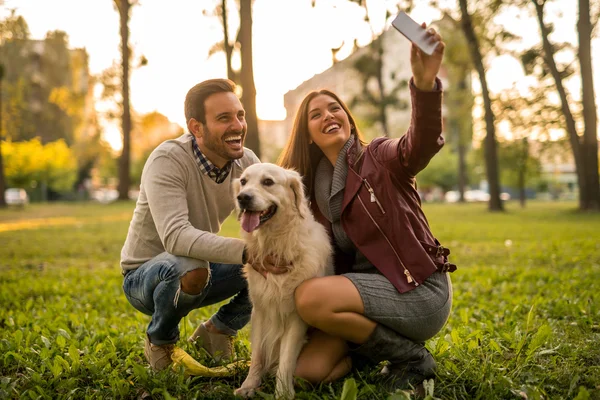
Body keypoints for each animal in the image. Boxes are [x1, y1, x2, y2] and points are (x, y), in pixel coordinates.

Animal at [232, 163, 332, 400]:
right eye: (243, 181)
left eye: (268, 182)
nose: (243, 197)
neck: (277, 243)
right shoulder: (260, 311)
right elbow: (258, 355)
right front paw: (249, 385)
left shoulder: (295, 316)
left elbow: (286, 359)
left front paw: (283, 392)